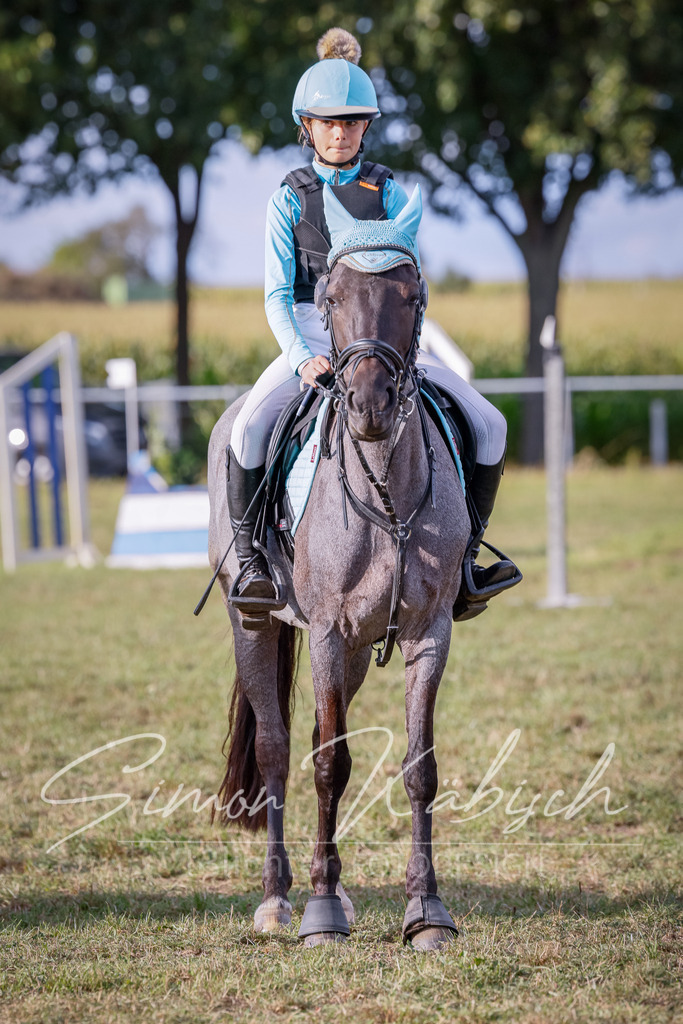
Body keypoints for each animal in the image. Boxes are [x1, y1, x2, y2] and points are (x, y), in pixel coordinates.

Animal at [206, 185, 470, 949]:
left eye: (413, 294)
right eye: (329, 296)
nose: (369, 405)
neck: (384, 488)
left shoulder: (429, 633)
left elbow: (418, 767)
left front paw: (426, 911)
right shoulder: (322, 630)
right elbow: (325, 763)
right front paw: (319, 915)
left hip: (353, 650)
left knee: (332, 730)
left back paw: (341, 891)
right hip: (253, 621)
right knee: (277, 749)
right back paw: (279, 899)